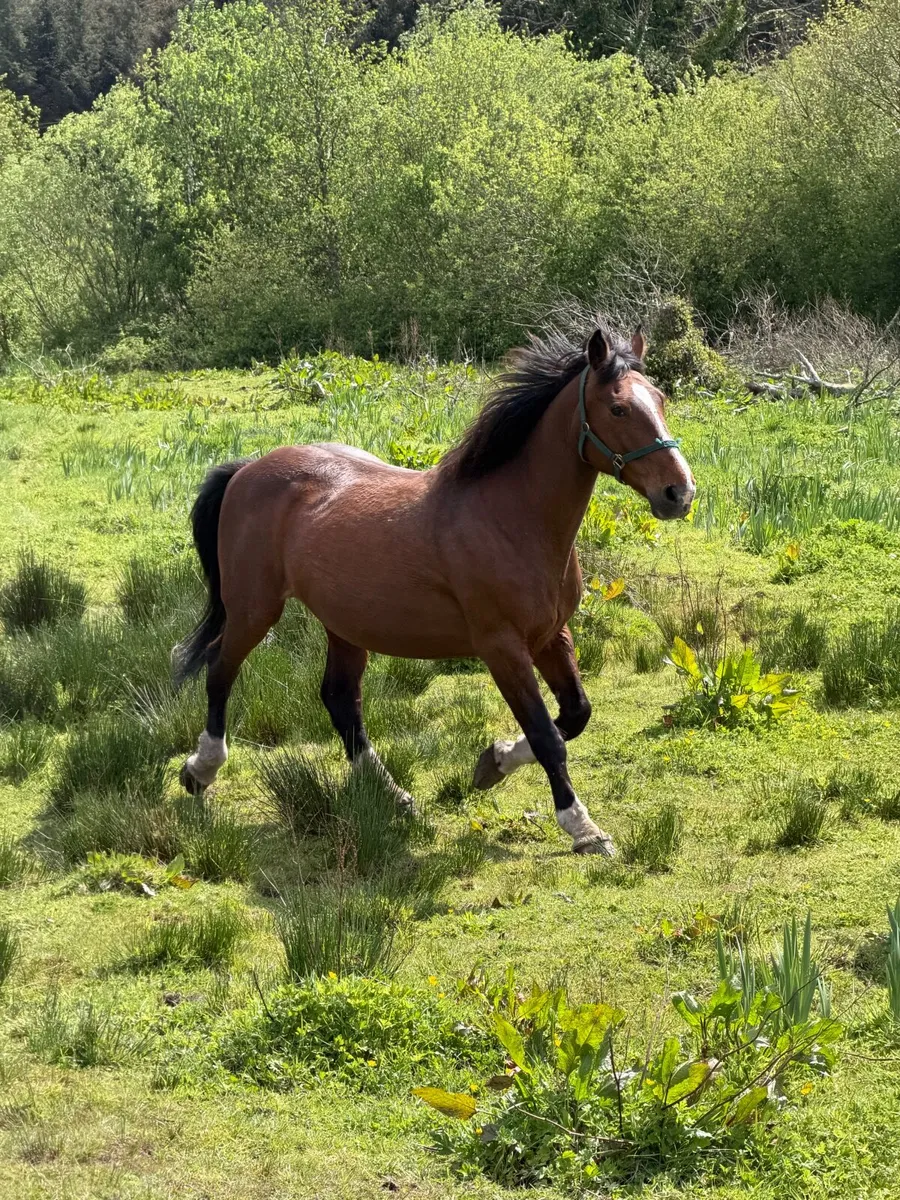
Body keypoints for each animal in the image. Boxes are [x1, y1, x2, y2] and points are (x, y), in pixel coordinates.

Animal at [173, 324, 695, 856]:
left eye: (661, 399)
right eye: (618, 408)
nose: (679, 493)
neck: (512, 521)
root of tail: (247, 470)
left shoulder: (551, 635)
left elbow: (574, 715)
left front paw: (494, 761)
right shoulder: (501, 648)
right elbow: (547, 735)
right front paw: (583, 828)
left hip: (344, 624)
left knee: (340, 700)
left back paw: (392, 794)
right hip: (254, 609)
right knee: (220, 671)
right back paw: (200, 771)